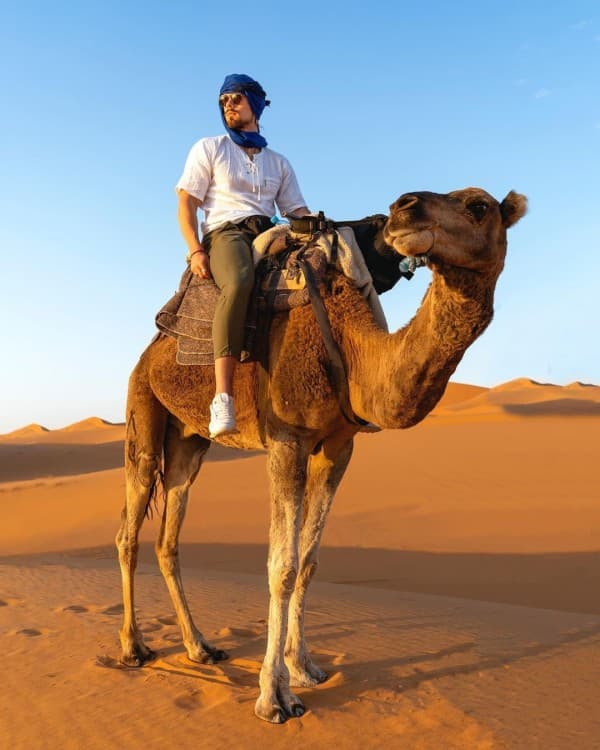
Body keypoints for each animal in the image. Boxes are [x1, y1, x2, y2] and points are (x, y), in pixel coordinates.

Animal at [117, 187, 527, 723]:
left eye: (479, 206)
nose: (404, 207)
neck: (352, 350)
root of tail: (152, 347)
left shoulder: (338, 446)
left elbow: (309, 561)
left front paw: (305, 668)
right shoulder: (286, 439)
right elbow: (282, 565)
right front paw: (274, 697)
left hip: (188, 442)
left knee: (169, 537)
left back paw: (200, 647)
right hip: (143, 410)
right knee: (129, 530)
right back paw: (132, 647)